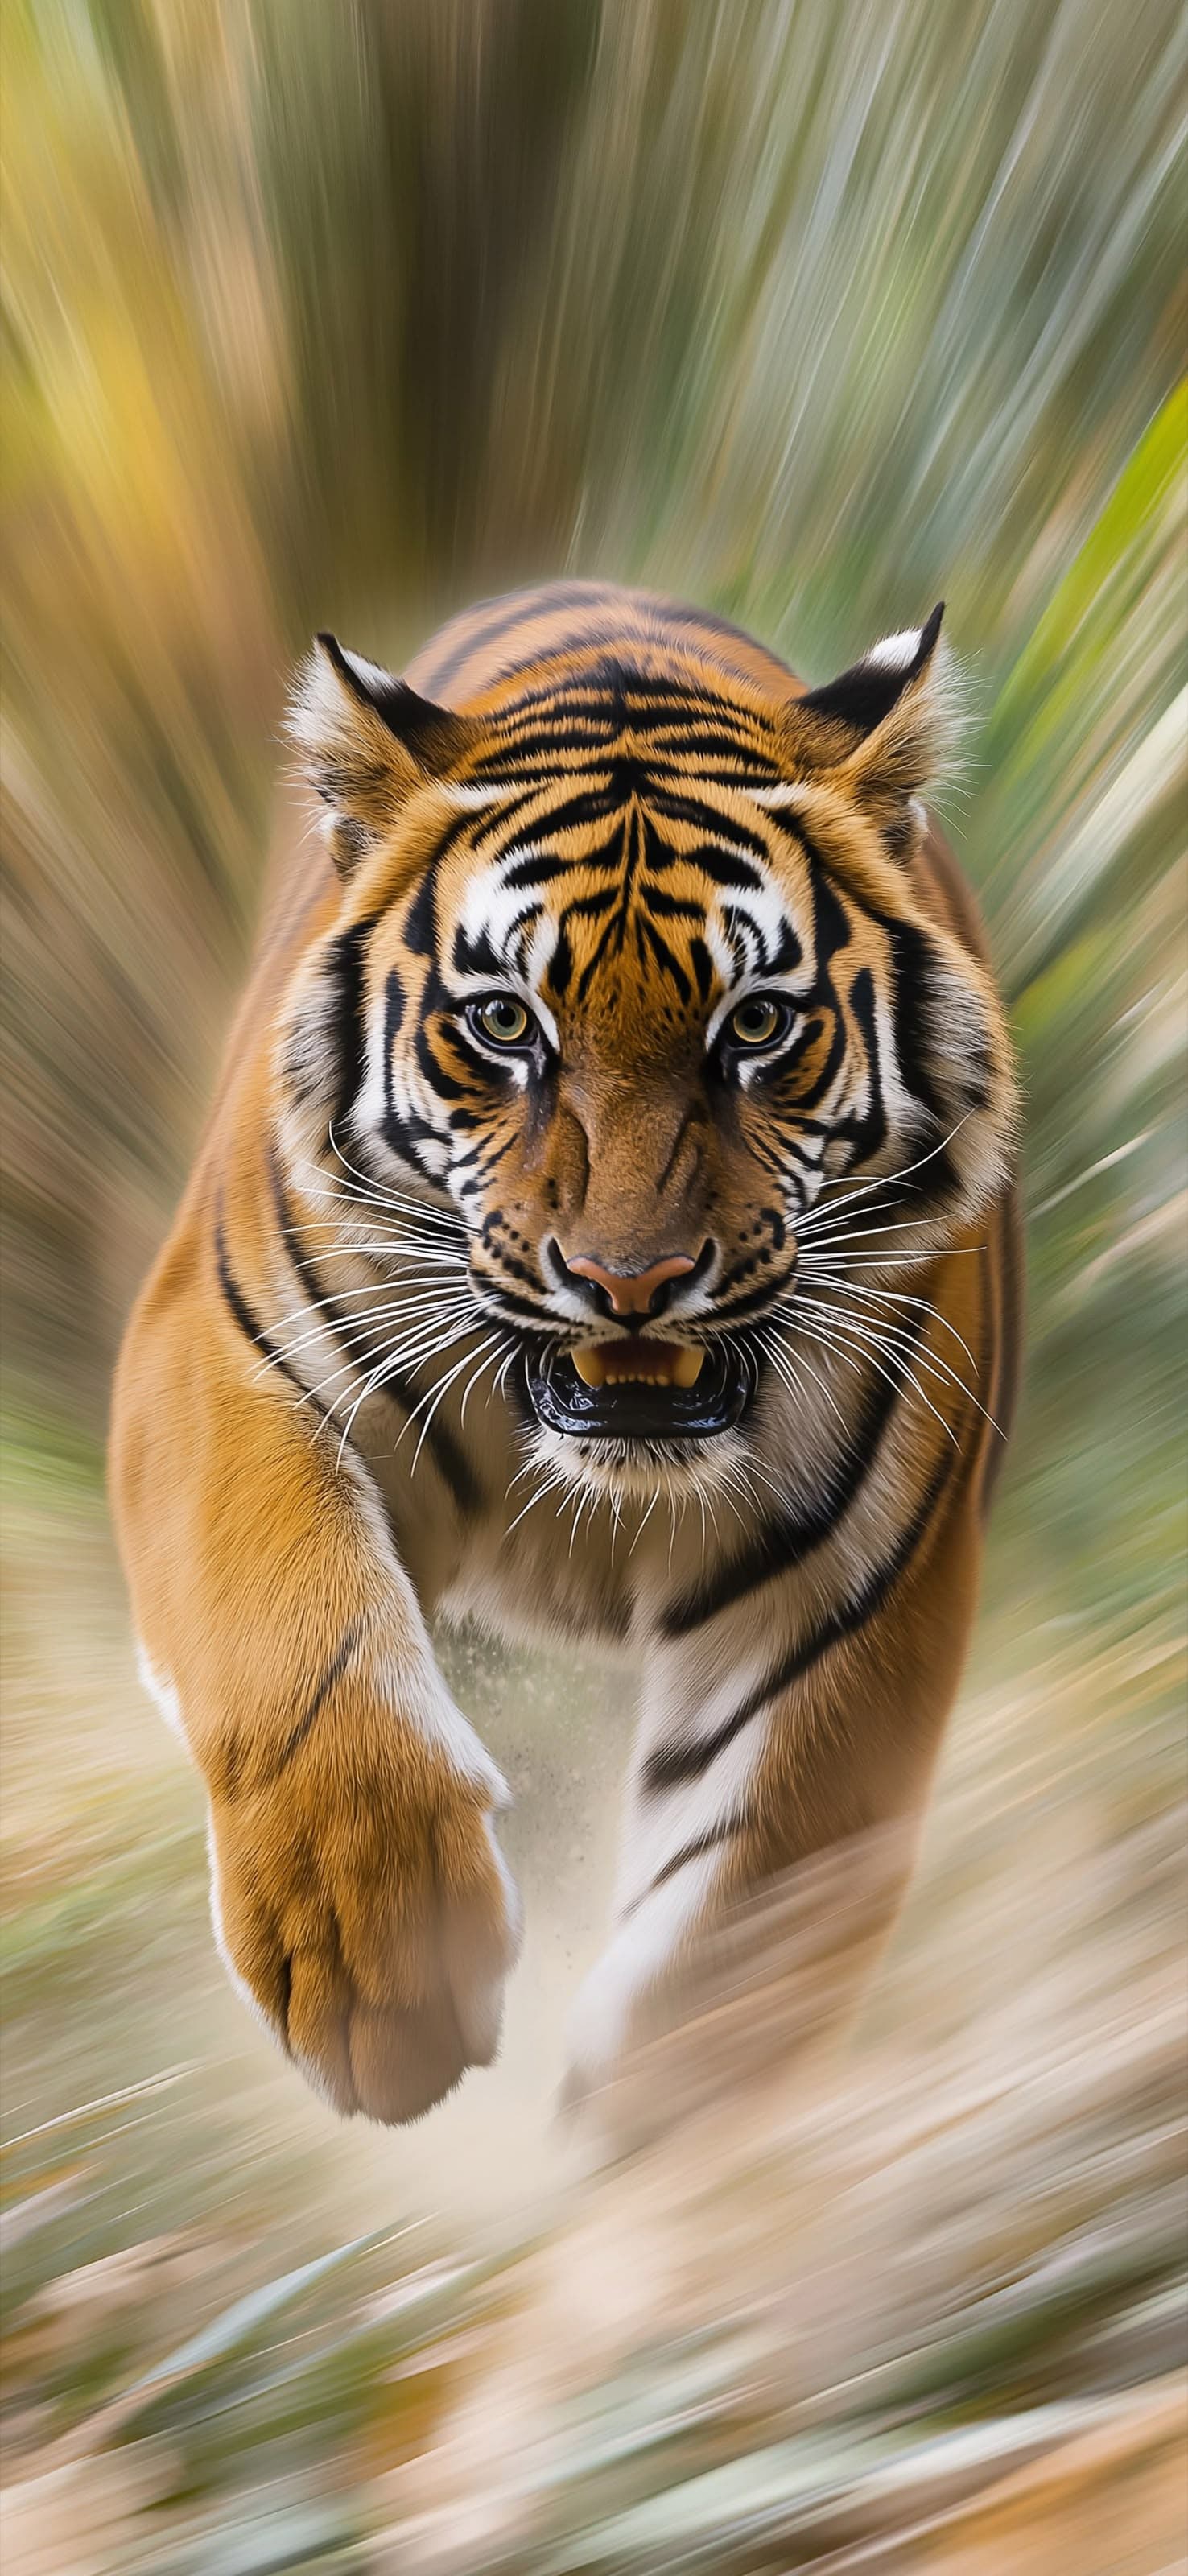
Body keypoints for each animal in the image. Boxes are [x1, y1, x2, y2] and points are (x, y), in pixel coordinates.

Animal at [110, 579, 1021, 2126]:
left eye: (755, 1024)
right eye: (502, 1024)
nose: (629, 1282)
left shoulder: (853, 1590)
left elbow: (748, 1921)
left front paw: (662, 2149)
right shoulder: (221, 1355)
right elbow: (297, 1647)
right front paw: (379, 1969)